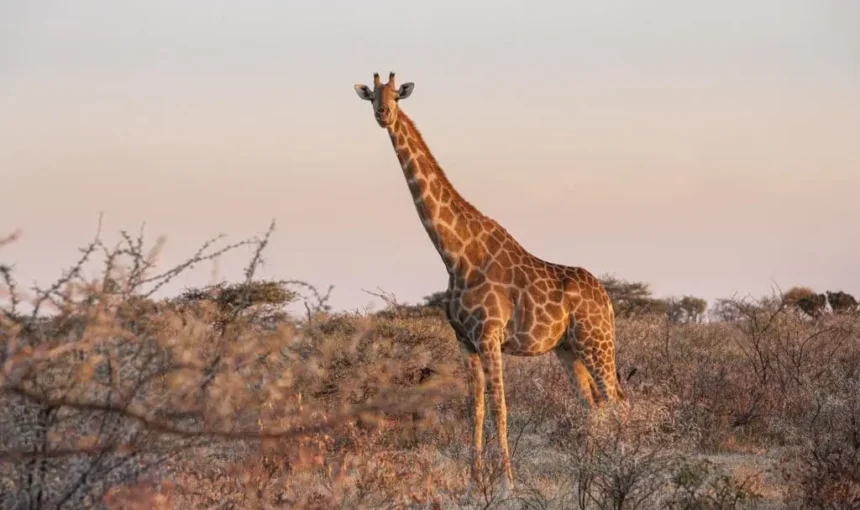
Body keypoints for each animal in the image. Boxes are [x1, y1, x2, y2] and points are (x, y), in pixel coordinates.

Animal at [352, 70, 628, 498]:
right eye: (372, 97)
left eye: (397, 95)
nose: (383, 114)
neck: (455, 253)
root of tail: (608, 300)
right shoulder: (464, 340)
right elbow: (475, 408)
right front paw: (472, 484)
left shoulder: (490, 336)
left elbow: (500, 406)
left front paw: (505, 485)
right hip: (568, 349)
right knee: (593, 404)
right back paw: (594, 475)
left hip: (596, 342)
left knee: (617, 402)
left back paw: (619, 472)